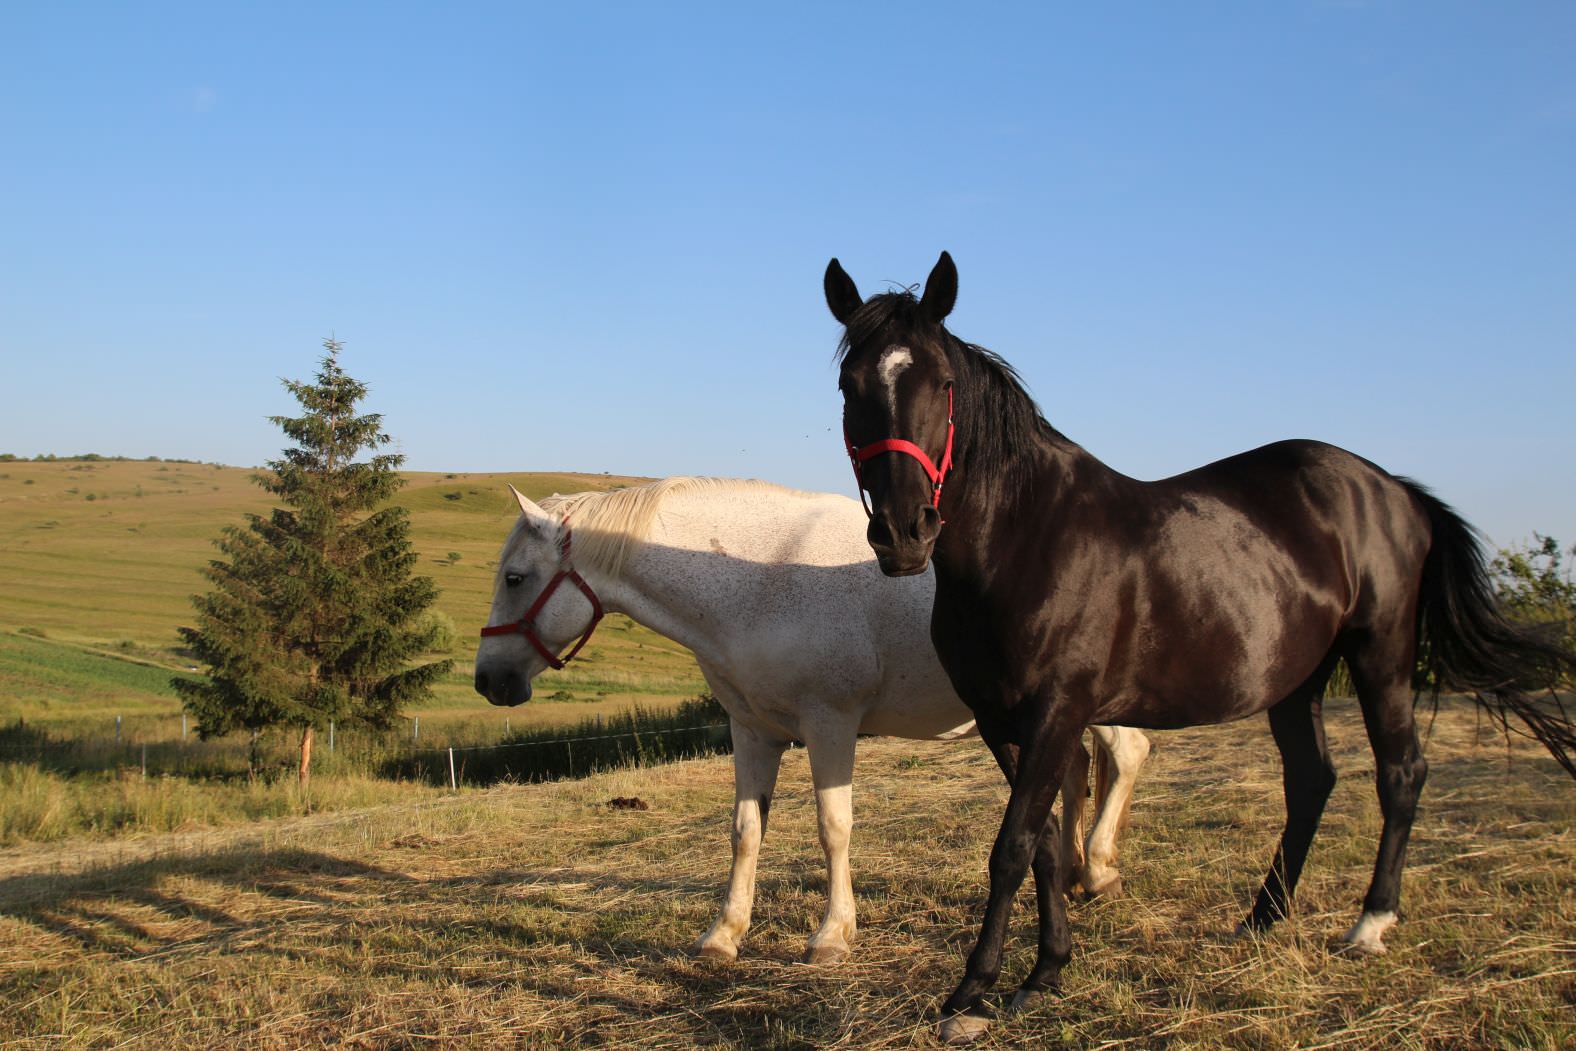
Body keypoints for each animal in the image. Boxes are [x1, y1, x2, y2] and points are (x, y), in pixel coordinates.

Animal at [472, 477, 1153, 964]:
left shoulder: (830, 725)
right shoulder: (752, 732)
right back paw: (1073, 874)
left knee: (1126, 754)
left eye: (515, 577)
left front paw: (831, 935)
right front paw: (724, 935)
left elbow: (833, 828)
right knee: (1077, 769)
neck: (760, 578)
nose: (488, 681)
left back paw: (1098, 870)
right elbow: (745, 831)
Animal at [824, 251, 1576, 1043]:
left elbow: (1012, 848)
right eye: (851, 386)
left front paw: (972, 994)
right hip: (1297, 681)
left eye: (942, 382)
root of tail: (1393, 489)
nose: (903, 533)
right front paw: (1047, 970)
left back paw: (1370, 924)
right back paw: (1262, 918)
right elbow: (1046, 845)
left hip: (1383, 655)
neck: (1029, 537)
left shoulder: (1057, 712)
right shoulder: (1005, 723)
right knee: (1311, 780)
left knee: (1401, 772)